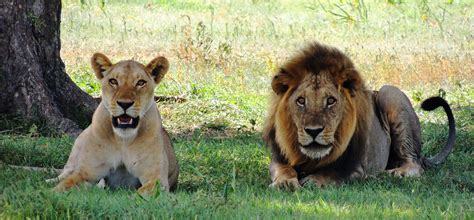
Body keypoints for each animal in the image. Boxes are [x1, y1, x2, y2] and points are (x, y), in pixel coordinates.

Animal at [53, 53, 179, 194]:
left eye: (141, 82)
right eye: (113, 81)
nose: (124, 104)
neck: (123, 139)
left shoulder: (157, 179)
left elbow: (140, 193)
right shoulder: (86, 173)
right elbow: (63, 186)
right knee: (64, 173)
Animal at [262, 42, 456, 188]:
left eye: (331, 101)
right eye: (301, 101)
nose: (313, 131)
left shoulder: (357, 166)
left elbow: (334, 173)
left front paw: (314, 180)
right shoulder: (278, 158)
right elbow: (284, 170)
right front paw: (285, 183)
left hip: (389, 93)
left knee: (414, 164)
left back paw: (393, 173)